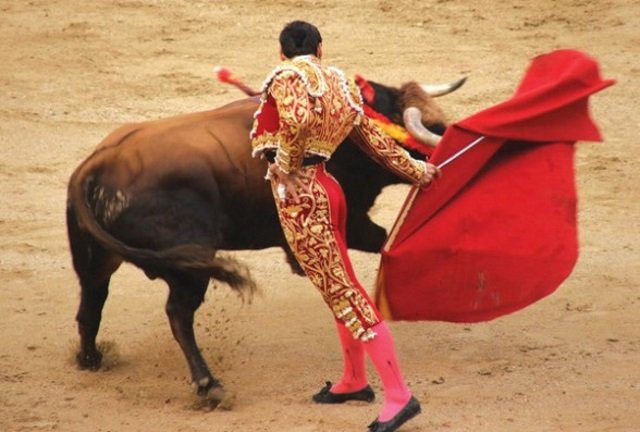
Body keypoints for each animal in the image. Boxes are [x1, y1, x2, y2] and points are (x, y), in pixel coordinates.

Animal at [66, 75, 464, 408]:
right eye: (431, 128)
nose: (447, 143)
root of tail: (98, 165)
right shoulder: (351, 225)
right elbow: (382, 243)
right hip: (190, 266)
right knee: (178, 314)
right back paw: (209, 386)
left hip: (96, 259)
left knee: (91, 303)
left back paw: (91, 359)